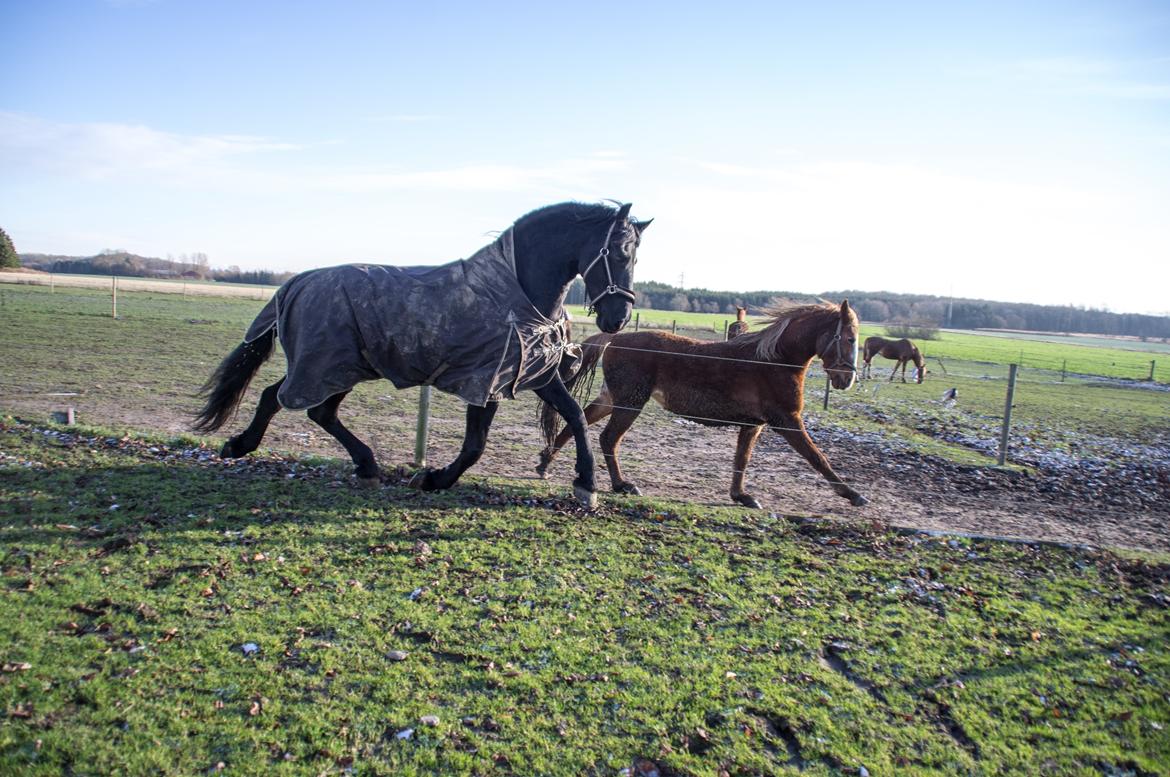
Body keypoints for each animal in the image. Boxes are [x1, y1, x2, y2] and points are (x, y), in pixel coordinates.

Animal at [191, 200, 650, 507]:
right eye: (619, 252)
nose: (619, 317)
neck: (518, 293)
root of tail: (298, 282)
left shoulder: (533, 374)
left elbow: (575, 416)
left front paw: (586, 486)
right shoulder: (485, 380)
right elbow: (475, 445)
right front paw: (434, 479)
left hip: (347, 367)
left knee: (313, 409)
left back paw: (364, 466)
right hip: (328, 364)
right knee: (283, 398)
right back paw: (241, 446)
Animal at [538, 301, 870, 510]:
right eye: (850, 338)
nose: (847, 380)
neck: (775, 360)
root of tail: (614, 339)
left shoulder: (754, 425)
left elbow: (741, 460)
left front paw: (742, 496)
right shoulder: (787, 421)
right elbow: (817, 458)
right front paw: (852, 494)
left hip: (613, 399)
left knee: (577, 421)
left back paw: (545, 463)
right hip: (630, 403)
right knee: (608, 439)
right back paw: (622, 485)